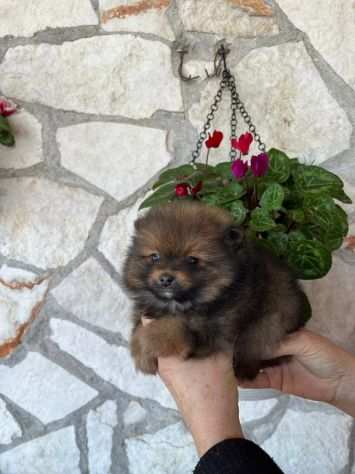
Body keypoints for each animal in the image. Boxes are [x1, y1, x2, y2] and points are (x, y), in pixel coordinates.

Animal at [123, 202, 312, 380]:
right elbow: (140, 325)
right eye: (155, 257)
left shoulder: (213, 333)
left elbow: (172, 326)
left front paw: (145, 343)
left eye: (192, 260)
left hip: (268, 322)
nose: (165, 279)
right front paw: (142, 355)